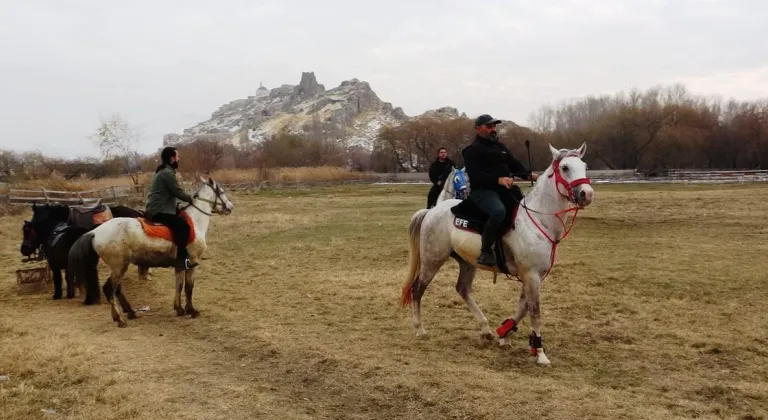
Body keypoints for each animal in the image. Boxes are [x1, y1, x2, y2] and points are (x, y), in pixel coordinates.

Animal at [68, 177, 231, 328]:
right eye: (222, 192)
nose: (230, 207)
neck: (194, 222)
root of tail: (95, 232)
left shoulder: (179, 266)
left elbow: (179, 286)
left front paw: (179, 309)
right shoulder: (193, 262)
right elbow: (189, 287)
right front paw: (191, 310)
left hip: (119, 267)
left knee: (117, 290)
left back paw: (128, 313)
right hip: (119, 267)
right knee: (109, 289)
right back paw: (120, 319)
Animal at [400, 144, 596, 364]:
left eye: (584, 166)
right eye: (565, 167)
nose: (586, 194)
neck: (537, 219)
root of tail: (431, 211)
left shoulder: (532, 276)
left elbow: (523, 307)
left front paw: (505, 334)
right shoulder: (531, 275)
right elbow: (534, 311)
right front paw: (540, 352)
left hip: (467, 262)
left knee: (463, 289)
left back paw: (485, 329)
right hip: (432, 260)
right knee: (418, 288)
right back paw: (419, 329)